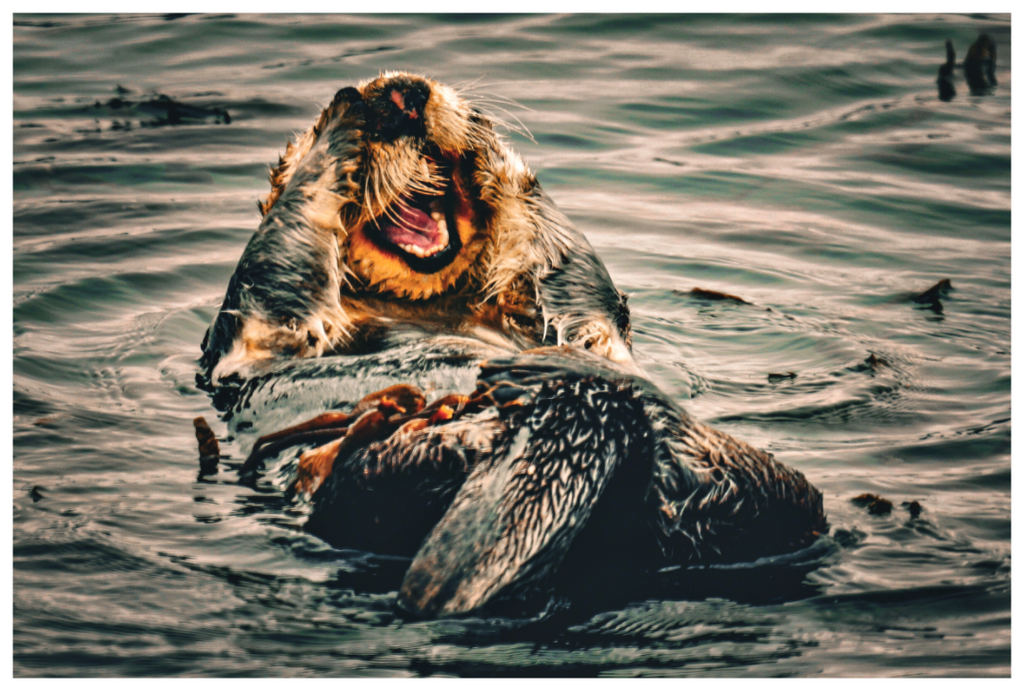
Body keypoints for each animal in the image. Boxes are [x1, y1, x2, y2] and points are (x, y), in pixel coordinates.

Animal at [199, 72, 826, 618]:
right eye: (306, 130)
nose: (402, 93)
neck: (427, 306)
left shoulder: (582, 321)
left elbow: (580, 275)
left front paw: (490, 155)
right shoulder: (256, 331)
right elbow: (280, 255)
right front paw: (344, 115)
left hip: (765, 500)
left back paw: (551, 377)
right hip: (375, 481)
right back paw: (525, 385)